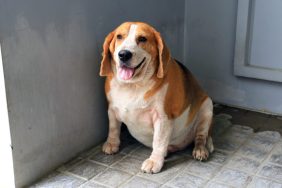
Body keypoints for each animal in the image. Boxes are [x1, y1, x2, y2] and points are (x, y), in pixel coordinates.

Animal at [100, 21, 213, 173]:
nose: (123, 54)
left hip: (207, 107)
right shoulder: (111, 109)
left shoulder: (162, 118)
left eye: (142, 39)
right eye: (119, 36)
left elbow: (159, 141)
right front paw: (112, 143)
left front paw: (154, 161)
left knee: (201, 137)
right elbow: (113, 128)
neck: (132, 85)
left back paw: (200, 150)